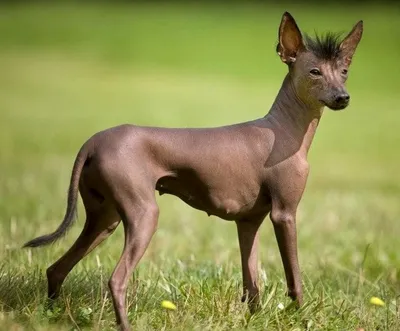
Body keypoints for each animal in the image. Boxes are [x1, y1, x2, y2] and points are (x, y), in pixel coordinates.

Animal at [23, 11, 364, 330]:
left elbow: (251, 282)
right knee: (116, 280)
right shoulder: (285, 215)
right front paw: (301, 318)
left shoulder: (248, 222)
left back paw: (52, 315)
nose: (343, 97)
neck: (282, 129)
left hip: (104, 219)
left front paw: (255, 320)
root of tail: (93, 142)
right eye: (315, 72)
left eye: (344, 72)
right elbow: (294, 278)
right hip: (143, 215)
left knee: (56, 269)